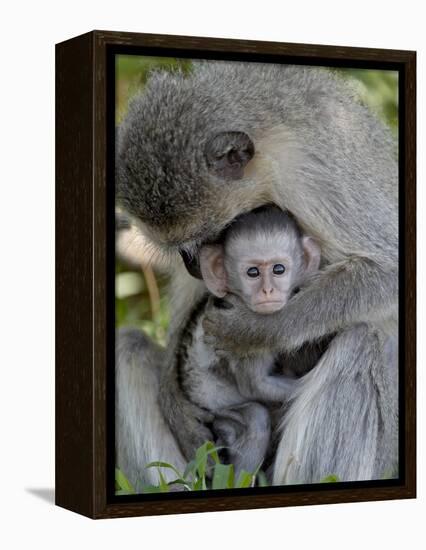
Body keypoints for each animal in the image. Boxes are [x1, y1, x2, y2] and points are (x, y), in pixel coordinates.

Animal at [175, 207, 322, 474]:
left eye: (278, 269)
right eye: (252, 272)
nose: (267, 291)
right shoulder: (243, 336)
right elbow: (255, 386)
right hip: (219, 414)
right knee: (255, 418)